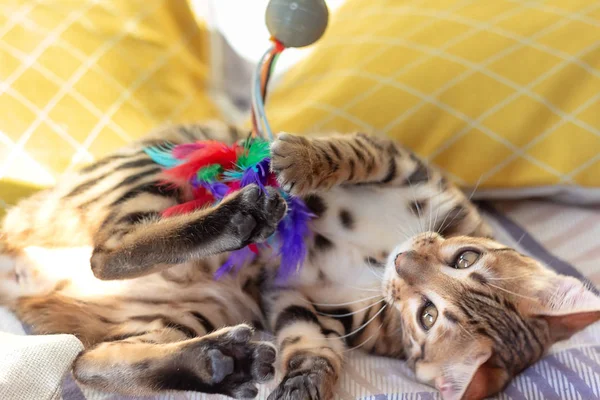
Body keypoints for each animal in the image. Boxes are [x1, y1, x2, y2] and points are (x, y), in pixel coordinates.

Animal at [0, 122, 596, 400]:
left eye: (426, 317)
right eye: (465, 257)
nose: (406, 261)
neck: (380, 256)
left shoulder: (299, 301)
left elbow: (314, 349)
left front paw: (305, 382)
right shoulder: (396, 161)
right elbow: (347, 153)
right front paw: (300, 160)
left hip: (197, 307)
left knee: (90, 357)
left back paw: (219, 362)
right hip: (155, 173)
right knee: (105, 253)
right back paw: (238, 216)